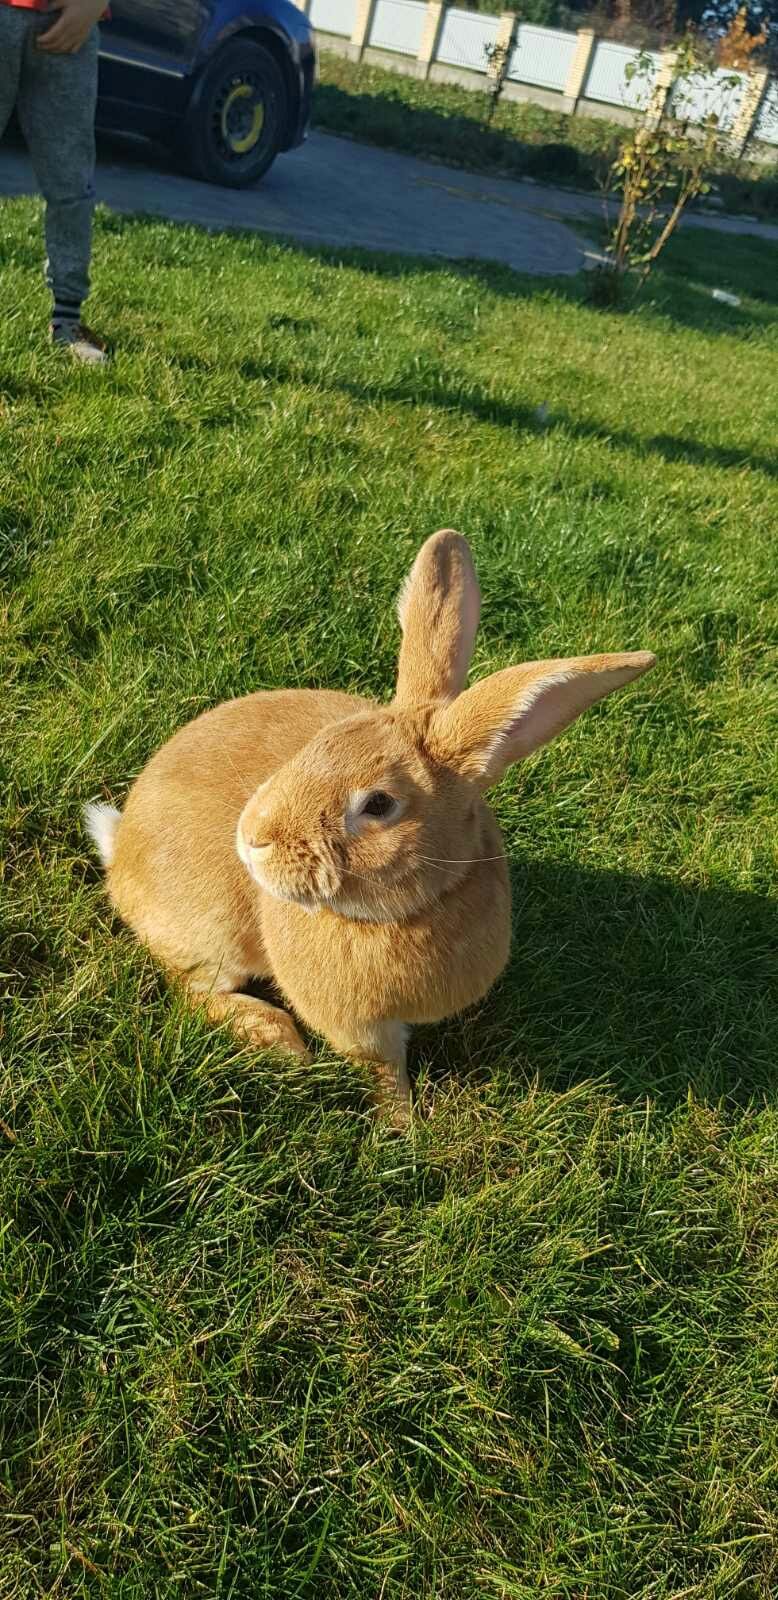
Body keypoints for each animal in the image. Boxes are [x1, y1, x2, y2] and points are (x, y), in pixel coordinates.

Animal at [86, 531, 656, 1132]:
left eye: (378, 804)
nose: (252, 840)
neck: (411, 910)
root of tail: (120, 853)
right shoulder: (359, 1026)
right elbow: (380, 1067)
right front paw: (402, 1126)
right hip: (216, 935)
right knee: (191, 988)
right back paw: (276, 1039)